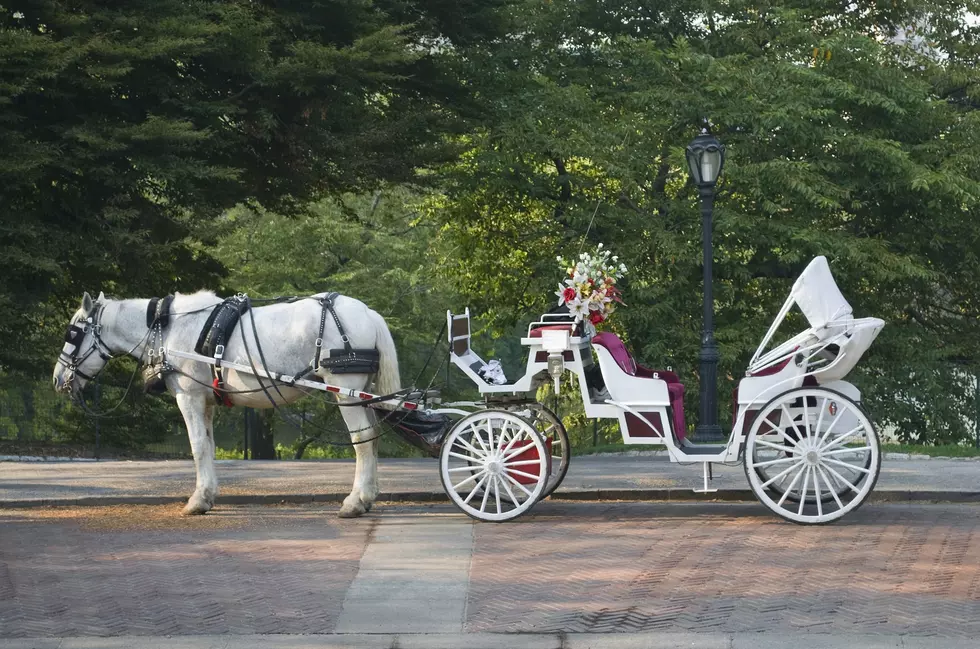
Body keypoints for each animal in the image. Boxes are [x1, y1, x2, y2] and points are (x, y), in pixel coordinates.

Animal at [50, 288, 398, 516]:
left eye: (72, 333)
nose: (57, 379)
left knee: (364, 440)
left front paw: (197, 501)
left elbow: (197, 447)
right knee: (373, 439)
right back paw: (368, 496)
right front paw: (208, 495)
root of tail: (367, 313)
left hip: (345, 390)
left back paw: (355, 501)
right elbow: (209, 445)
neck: (165, 330)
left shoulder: (189, 396)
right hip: (362, 394)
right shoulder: (206, 401)